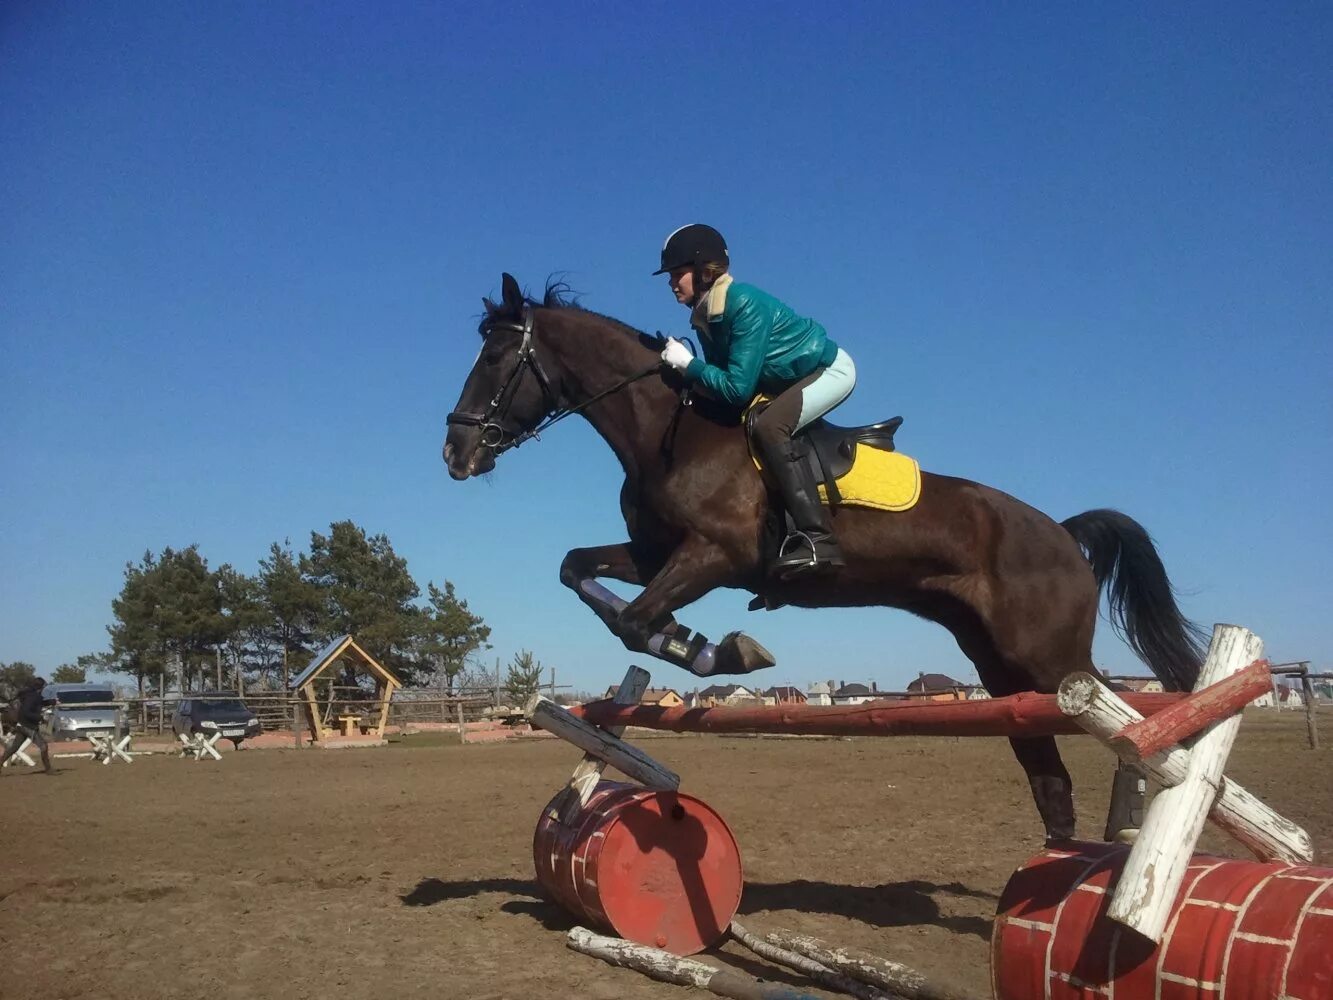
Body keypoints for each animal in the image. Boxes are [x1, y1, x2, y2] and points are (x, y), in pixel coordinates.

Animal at [442, 274, 1205, 848]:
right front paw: (693, 642)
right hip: (998, 667)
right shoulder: (657, 553)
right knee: (1047, 770)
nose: (455, 453)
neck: (670, 430)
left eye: (495, 361)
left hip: (1045, 656)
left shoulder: (713, 555)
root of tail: (1061, 532)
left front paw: (716, 648)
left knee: (1119, 711)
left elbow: (634, 622)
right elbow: (579, 572)